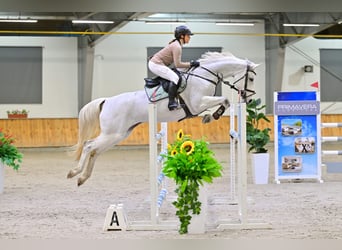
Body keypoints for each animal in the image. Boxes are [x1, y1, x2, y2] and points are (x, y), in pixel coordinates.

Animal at [67, 51, 260, 186]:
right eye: (250, 78)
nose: (249, 100)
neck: (206, 75)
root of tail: (106, 101)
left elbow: (224, 102)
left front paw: (209, 117)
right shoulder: (197, 104)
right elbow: (225, 100)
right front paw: (211, 116)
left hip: (119, 135)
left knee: (94, 151)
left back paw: (83, 178)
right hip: (112, 134)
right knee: (89, 146)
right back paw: (74, 172)